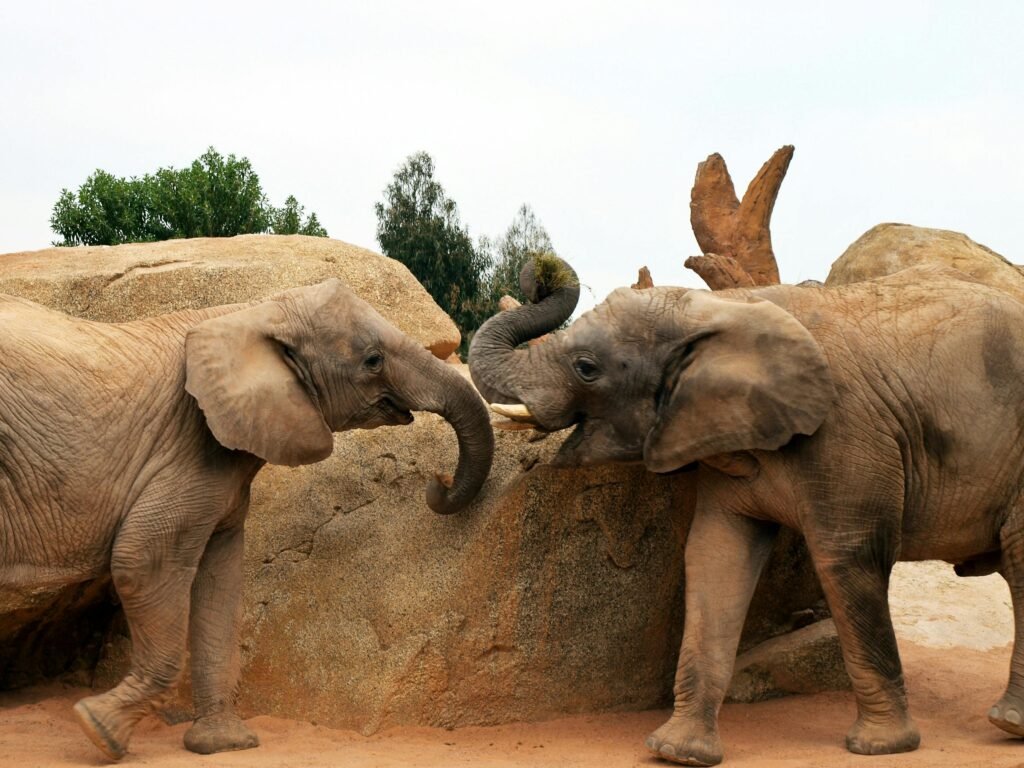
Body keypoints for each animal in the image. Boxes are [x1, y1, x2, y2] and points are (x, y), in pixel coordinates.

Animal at [0, 279, 493, 760]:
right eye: (373, 360)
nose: (438, 481)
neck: (253, 312)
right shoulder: (190, 443)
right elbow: (143, 561)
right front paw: (100, 730)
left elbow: (220, 580)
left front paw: (223, 744)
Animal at [469, 255, 1024, 765]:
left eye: (586, 368)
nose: (538, 273)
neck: (724, 306)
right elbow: (716, 555)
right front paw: (677, 752)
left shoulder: (847, 433)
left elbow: (847, 559)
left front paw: (882, 747)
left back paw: (1007, 724)